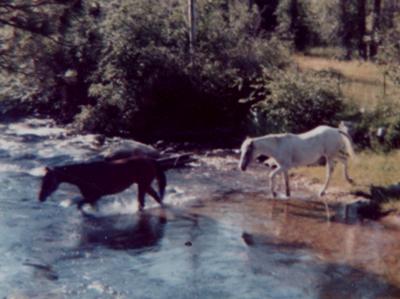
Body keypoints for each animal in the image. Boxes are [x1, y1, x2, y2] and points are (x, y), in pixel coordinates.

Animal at [38, 157, 166, 211]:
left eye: (48, 181)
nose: (40, 198)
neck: (83, 175)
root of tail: (151, 161)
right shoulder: (91, 198)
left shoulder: (95, 195)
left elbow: (80, 205)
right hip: (144, 185)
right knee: (156, 197)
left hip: (143, 185)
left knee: (143, 202)